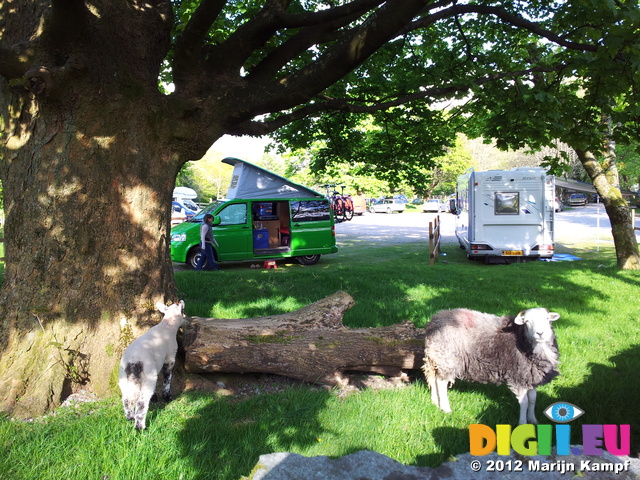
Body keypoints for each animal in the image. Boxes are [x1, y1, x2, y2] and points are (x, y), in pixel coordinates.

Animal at [119, 300, 185, 432]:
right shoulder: (170, 357)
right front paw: (167, 397)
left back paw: (130, 417)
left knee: (126, 399)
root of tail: (133, 363)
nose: (180, 301)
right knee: (141, 403)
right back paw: (140, 427)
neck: (166, 326)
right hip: (146, 376)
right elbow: (167, 378)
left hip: (124, 377)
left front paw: (155, 397)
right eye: (180, 307)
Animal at [424, 308, 560, 424]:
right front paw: (522, 423)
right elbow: (524, 402)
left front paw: (533, 419)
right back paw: (446, 408)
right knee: (441, 383)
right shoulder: (518, 376)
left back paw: (435, 402)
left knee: (433, 379)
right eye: (527, 321)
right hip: (447, 358)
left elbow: (532, 400)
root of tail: (435, 321)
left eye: (547, 319)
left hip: (437, 358)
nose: (540, 333)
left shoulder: (531, 376)